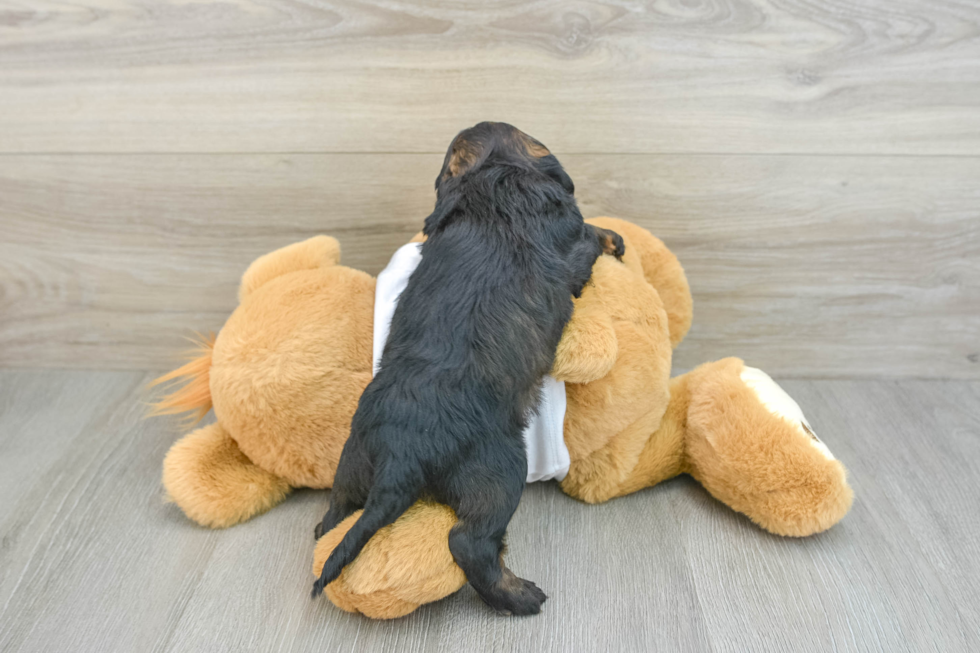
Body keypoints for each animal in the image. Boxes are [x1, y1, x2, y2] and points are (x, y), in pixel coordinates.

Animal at [310, 122, 624, 616]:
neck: (491, 184)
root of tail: (402, 455)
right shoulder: (572, 244)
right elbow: (590, 234)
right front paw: (613, 237)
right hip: (500, 469)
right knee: (469, 543)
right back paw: (520, 595)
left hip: (354, 460)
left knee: (336, 512)